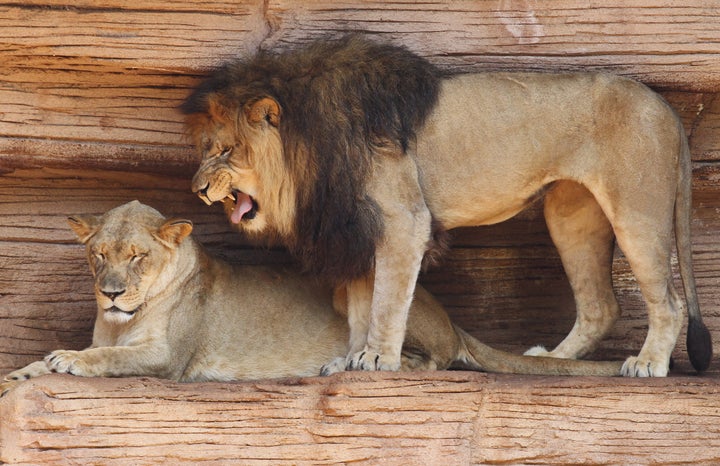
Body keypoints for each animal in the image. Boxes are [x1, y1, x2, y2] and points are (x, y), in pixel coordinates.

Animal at [0, 201, 620, 396]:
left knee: (424, 358)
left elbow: (102, 357)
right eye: (98, 256)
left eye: (137, 257)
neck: (124, 318)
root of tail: (450, 317)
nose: (110, 293)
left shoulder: (168, 359)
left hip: (359, 288)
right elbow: (49, 361)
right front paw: (19, 374)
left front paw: (67, 360)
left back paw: (346, 362)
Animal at [183, 36, 712, 378]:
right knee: (600, 306)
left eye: (226, 150)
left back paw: (648, 364)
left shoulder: (402, 220)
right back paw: (550, 362)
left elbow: (386, 302)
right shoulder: (359, 229)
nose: (198, 189)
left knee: (669, 301)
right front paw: (347, 359)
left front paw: (378, 359)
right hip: (570, 215)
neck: (306, 148)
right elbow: (359, 308)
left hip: (636, 211)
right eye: (205, 148)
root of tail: (667, 108)